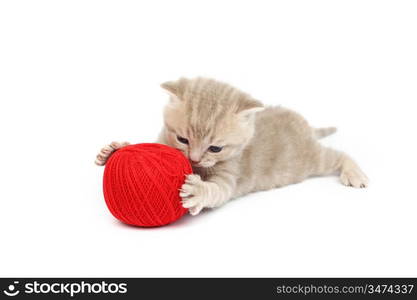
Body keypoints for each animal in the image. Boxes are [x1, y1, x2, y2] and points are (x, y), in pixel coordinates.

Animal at [95, 77, 368, 216]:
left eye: (215, 149)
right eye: (182, 140)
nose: (194, 159)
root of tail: (306, 126)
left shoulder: (230, 174)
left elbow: (217, 190)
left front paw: (198, 191)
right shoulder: (163, 139)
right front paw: (114, 149)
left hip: (309, 160)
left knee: (338, 155)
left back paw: (355, 174)